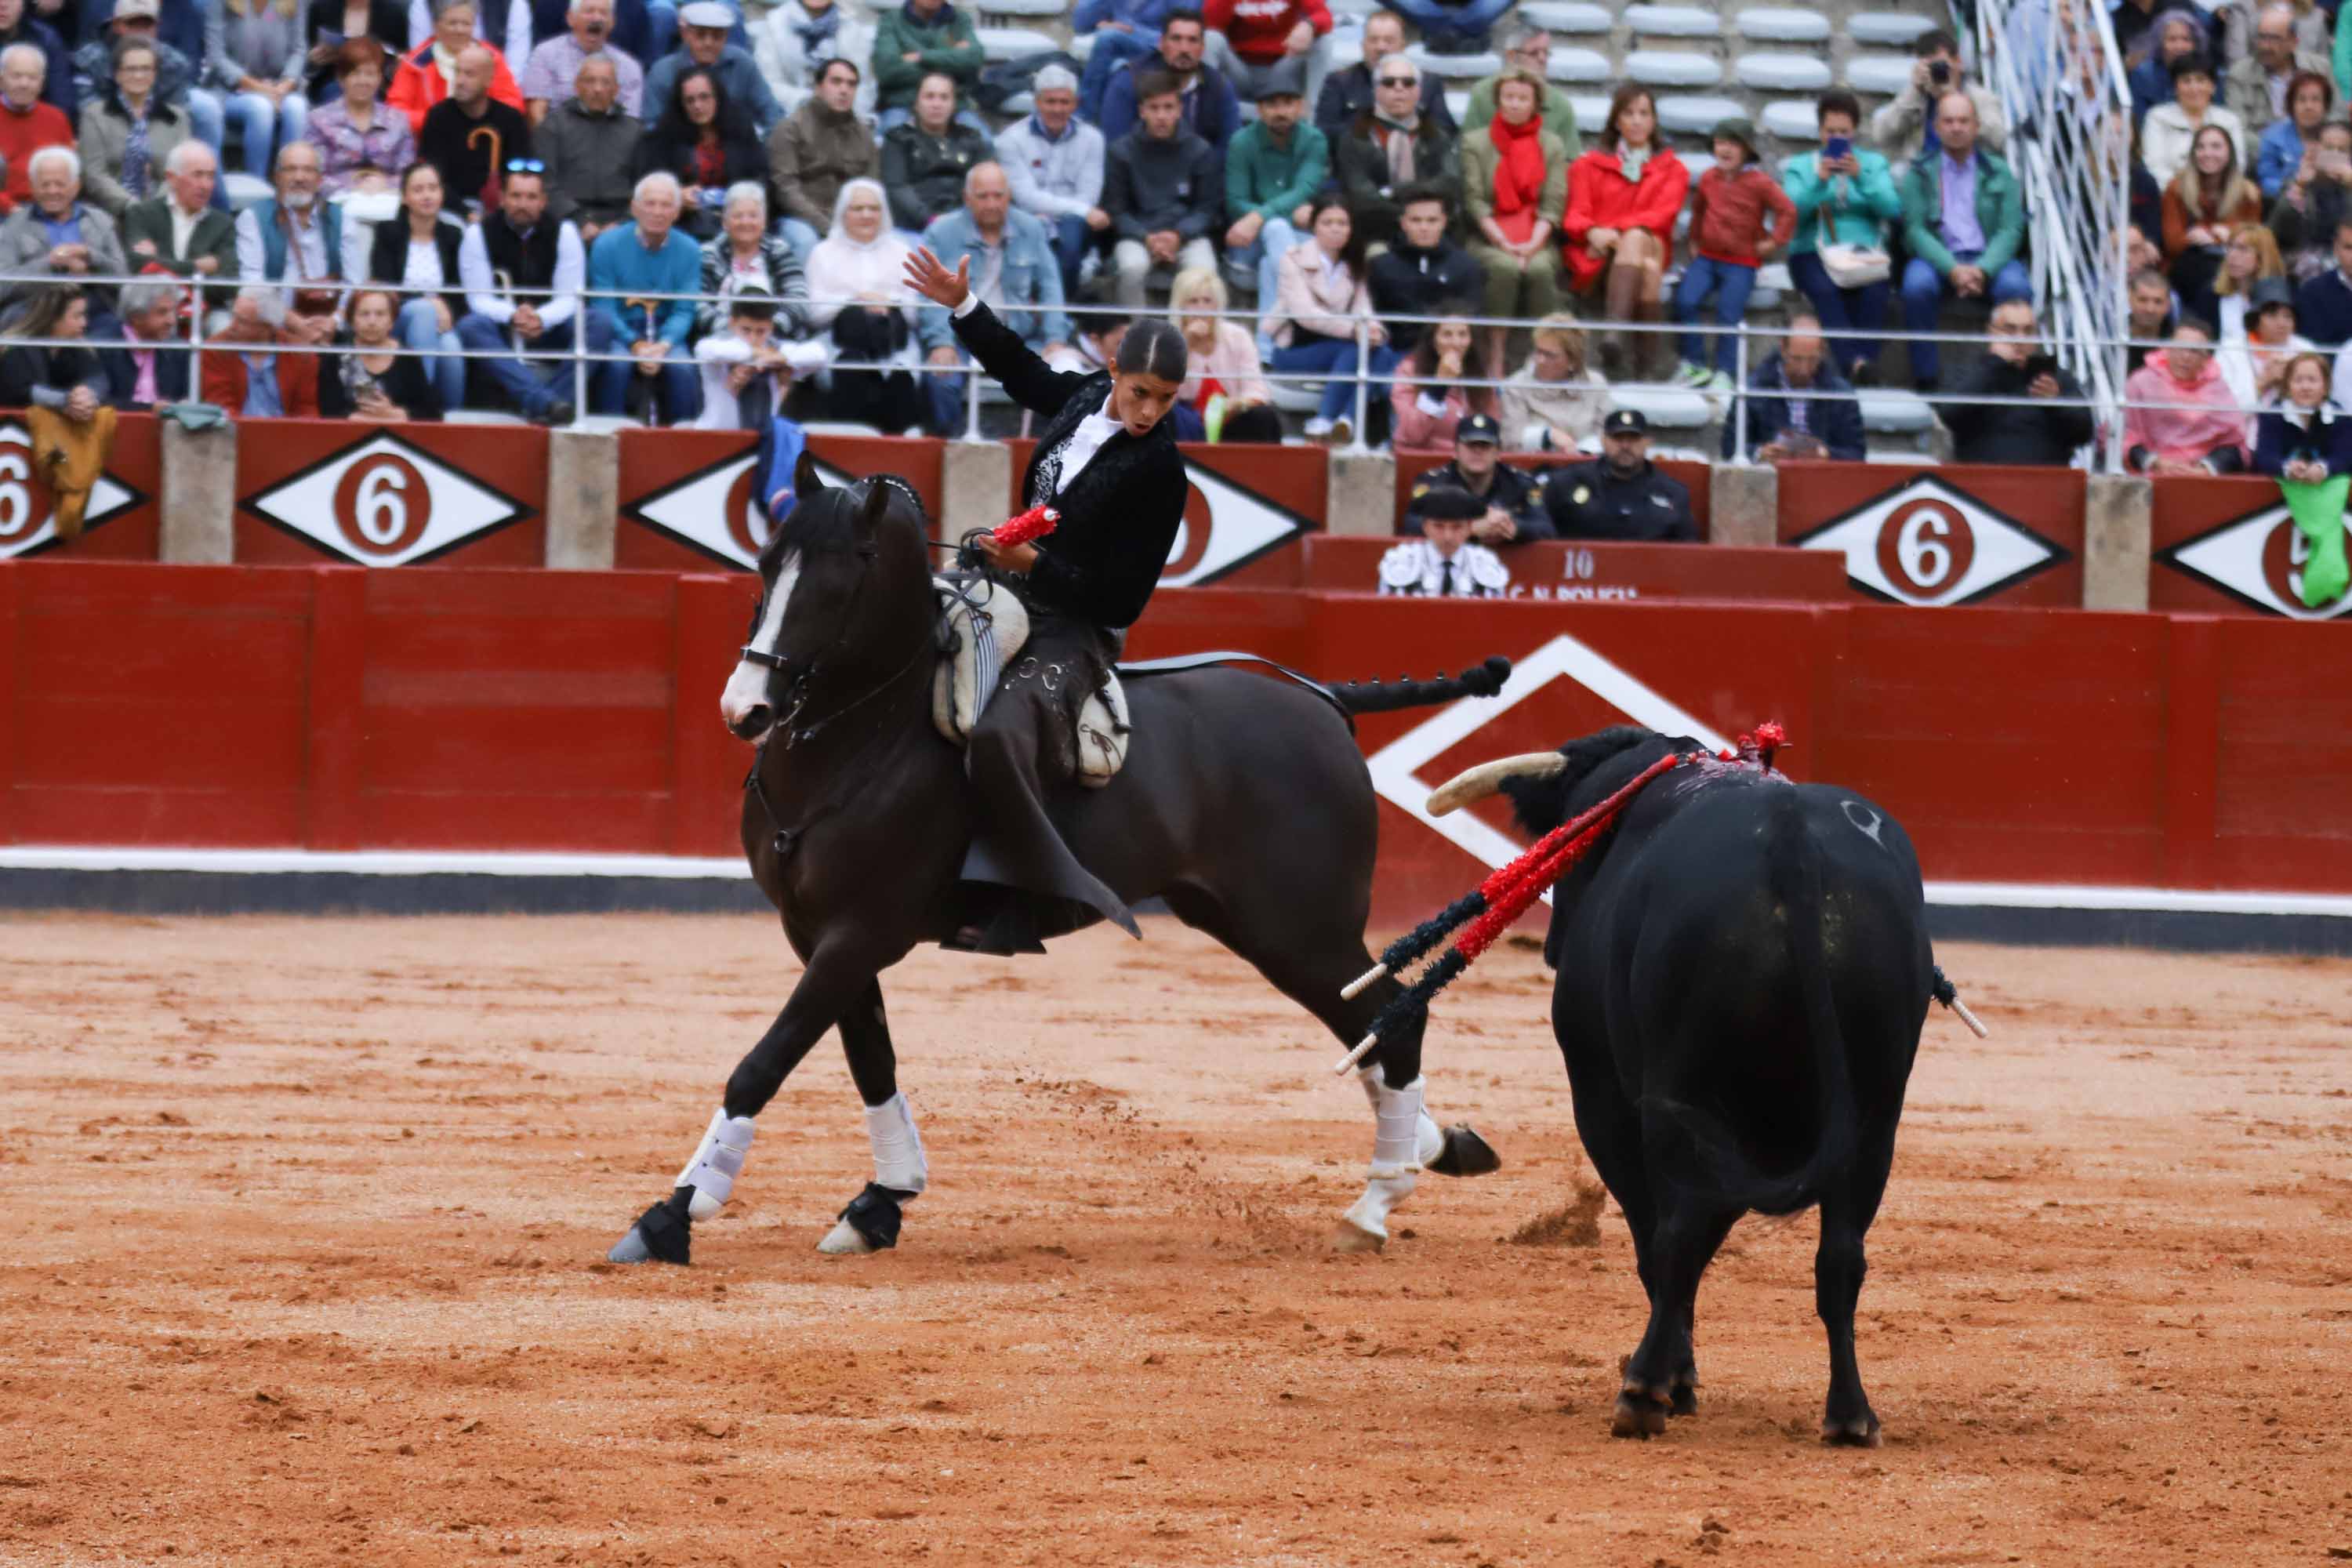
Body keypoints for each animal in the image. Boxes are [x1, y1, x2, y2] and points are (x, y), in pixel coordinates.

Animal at [612, 460, 1505, 1269]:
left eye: (842, 577)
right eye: (767, 567)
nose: (745, 708)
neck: (866, 741)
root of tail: (1328, 702)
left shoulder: (862, 931)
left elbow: (762, 1063)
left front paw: (669, 1216)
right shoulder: (819, 933)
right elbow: (870, 1059)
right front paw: (879, 1204)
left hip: (1302, 927)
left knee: (1395, 1018)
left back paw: (1376, 1201)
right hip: (1251, 923)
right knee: (1370, 1028)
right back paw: (1435, 1147)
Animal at [1496, 728, 1938, 1439]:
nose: (1553, 946)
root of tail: (1792, 839)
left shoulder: (1604, 1100)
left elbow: (1662, 1237)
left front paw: (1675, 1378)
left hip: (1676, 1095)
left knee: (1675, 1237)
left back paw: (1643, 1392)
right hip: (1875, 1117)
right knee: (1841, 1255)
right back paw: (1850, 1415)